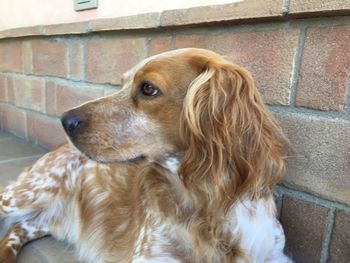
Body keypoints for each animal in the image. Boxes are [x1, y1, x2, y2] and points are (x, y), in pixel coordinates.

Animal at [0, 48, 290, 262]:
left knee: (17, 228)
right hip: (28, 192)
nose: (65, 120)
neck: (205, 205)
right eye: (122, 84)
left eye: (148, 88)